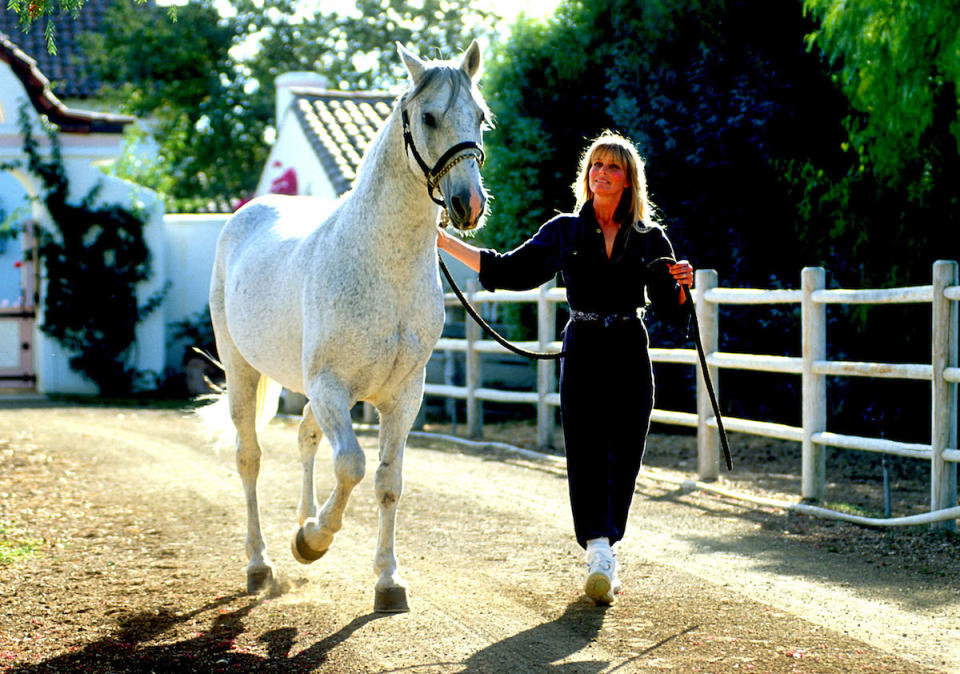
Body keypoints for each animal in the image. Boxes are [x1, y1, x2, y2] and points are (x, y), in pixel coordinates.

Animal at [211, 40, 492, 608]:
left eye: (480, 117)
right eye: (429, 117)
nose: (468, 204)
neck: (383, 264)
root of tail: (246, 213)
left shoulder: (403, 396)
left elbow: (387, 481)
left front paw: (387, 581)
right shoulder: (331, 386)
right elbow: (353, 466)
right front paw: (313, 542)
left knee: (304, 438)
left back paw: (300, 521)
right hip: (243, 372)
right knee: (250, 457)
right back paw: (262, 563)